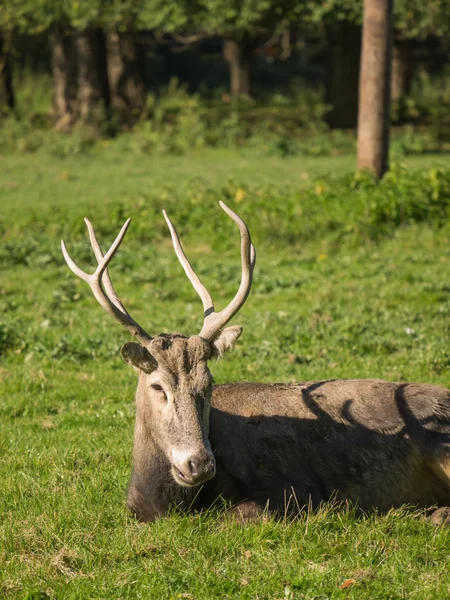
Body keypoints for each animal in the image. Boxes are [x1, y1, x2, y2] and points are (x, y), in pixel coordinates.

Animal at [61, 204, 450, 524]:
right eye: (158, 386)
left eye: (209, 384)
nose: (199, 464)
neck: (162, 499)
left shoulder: (299, 486)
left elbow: (233, 516)